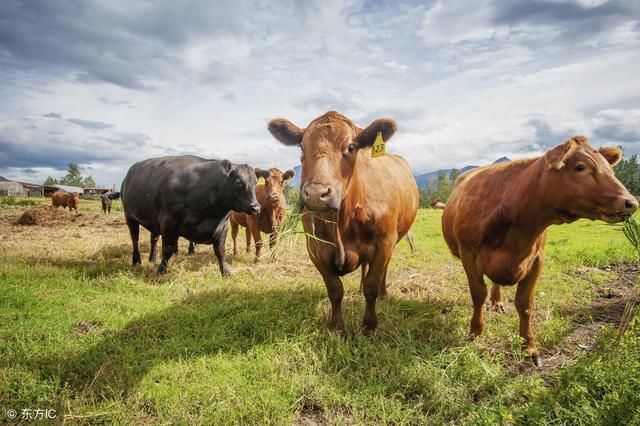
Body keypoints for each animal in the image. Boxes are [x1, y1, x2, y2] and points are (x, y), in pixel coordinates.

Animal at [120, 156, 268, 276]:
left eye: (255, 182)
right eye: (238, 182)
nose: (255, 207)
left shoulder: (223, 226)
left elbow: (220, 251)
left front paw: (226, 272)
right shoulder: (168, 222)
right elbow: (167, 249)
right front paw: (161, 271)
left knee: (154, 238)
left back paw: (152, 258)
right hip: (130, 217)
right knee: (135, 239)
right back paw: (136, 260)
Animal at [268, 111, 420, 334]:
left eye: (350, 147)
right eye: (302, 147)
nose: (316, 194)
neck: (343, 221)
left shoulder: (385, 243)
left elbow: (372, 287)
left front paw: (369, 327)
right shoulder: (315, 248)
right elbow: (335, 289)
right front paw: (337, 327)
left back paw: (384, 294)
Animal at [442, 136, 636, 366]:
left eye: (611, 169)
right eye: (580, 167)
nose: (631, 202)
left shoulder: (536, 260)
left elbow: (525, 304)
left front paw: (529, 346)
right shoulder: (468, 253)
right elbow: (478, 294)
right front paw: (475, 333)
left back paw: (497, 302)